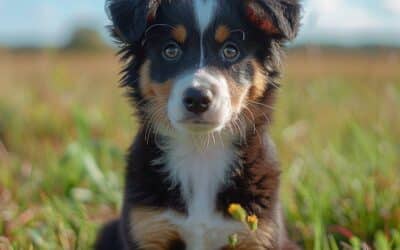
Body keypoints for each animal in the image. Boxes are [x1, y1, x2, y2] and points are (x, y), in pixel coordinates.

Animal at [96, 0, 300, 249]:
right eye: (171, 51)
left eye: (231, 51)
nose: (197, 99)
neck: (201, 150)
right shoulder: (148, 227)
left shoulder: (256, 233)